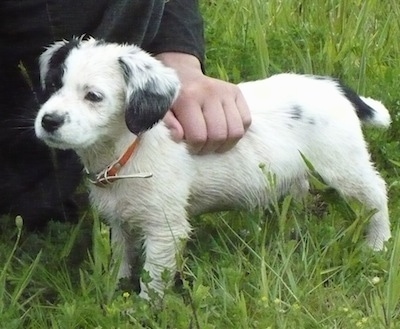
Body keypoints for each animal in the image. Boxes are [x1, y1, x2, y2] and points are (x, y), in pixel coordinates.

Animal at [34, 37, 390, 298]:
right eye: (51, 87)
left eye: (93, 96)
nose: (48, 121)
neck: (126, 150)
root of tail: (333, 87)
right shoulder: (120, 223)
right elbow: (120, 262)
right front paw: (112, 295)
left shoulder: (165, 229)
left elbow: (152, 279)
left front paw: (142, 310)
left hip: (344, 166)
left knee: (377, 195)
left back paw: (378, 243)